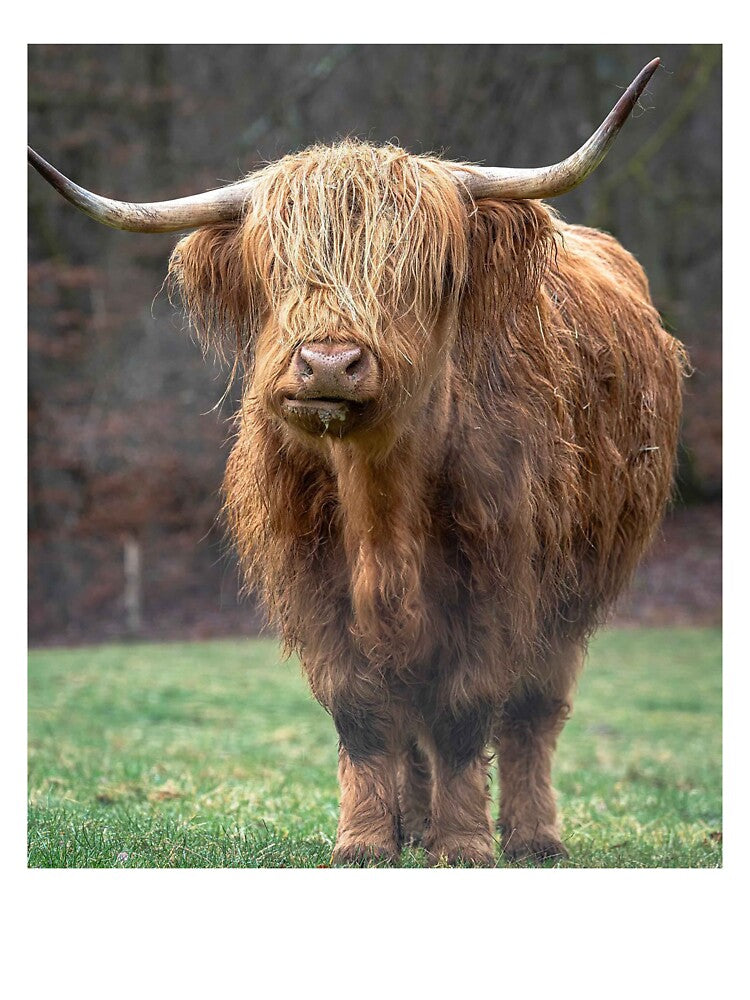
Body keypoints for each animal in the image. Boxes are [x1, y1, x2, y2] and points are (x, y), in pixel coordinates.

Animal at [29, 58, 686, 866]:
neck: (381, 507)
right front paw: (366, 841)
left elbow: (466, 712)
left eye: (422, 271)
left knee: (533, 713)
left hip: (574, 593)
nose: (329, 362)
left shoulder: (499, 583)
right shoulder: (313, 586)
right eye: (276, 269)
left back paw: (533, 838)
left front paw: (465, 844)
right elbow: (365, 713)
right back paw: (412, 827)